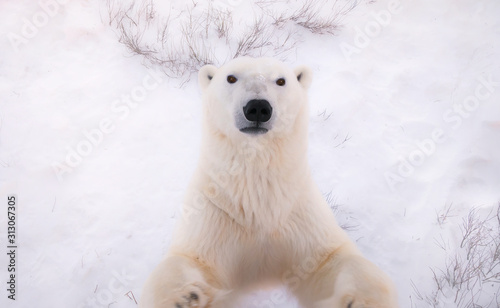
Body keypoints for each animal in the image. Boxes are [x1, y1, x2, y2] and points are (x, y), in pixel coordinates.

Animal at [141, 56, 398, 306]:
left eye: (281, 80)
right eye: (231, 77)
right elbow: (189, 259)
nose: (257, 108)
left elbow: (331, 260)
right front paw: (185, 297)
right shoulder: (215, 209)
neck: (260, 204)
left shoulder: (298, 211)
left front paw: (362, 300)